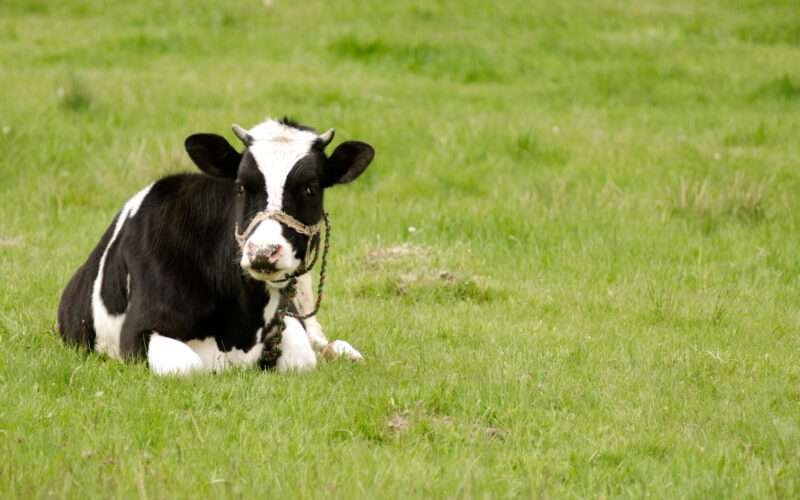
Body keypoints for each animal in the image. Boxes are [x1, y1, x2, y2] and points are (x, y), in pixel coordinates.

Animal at [57, 117, 374, 375]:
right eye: (242, 186)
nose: (263, 252)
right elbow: (187, 365)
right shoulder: (135, 332)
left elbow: (302, 356)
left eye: (310, 188)